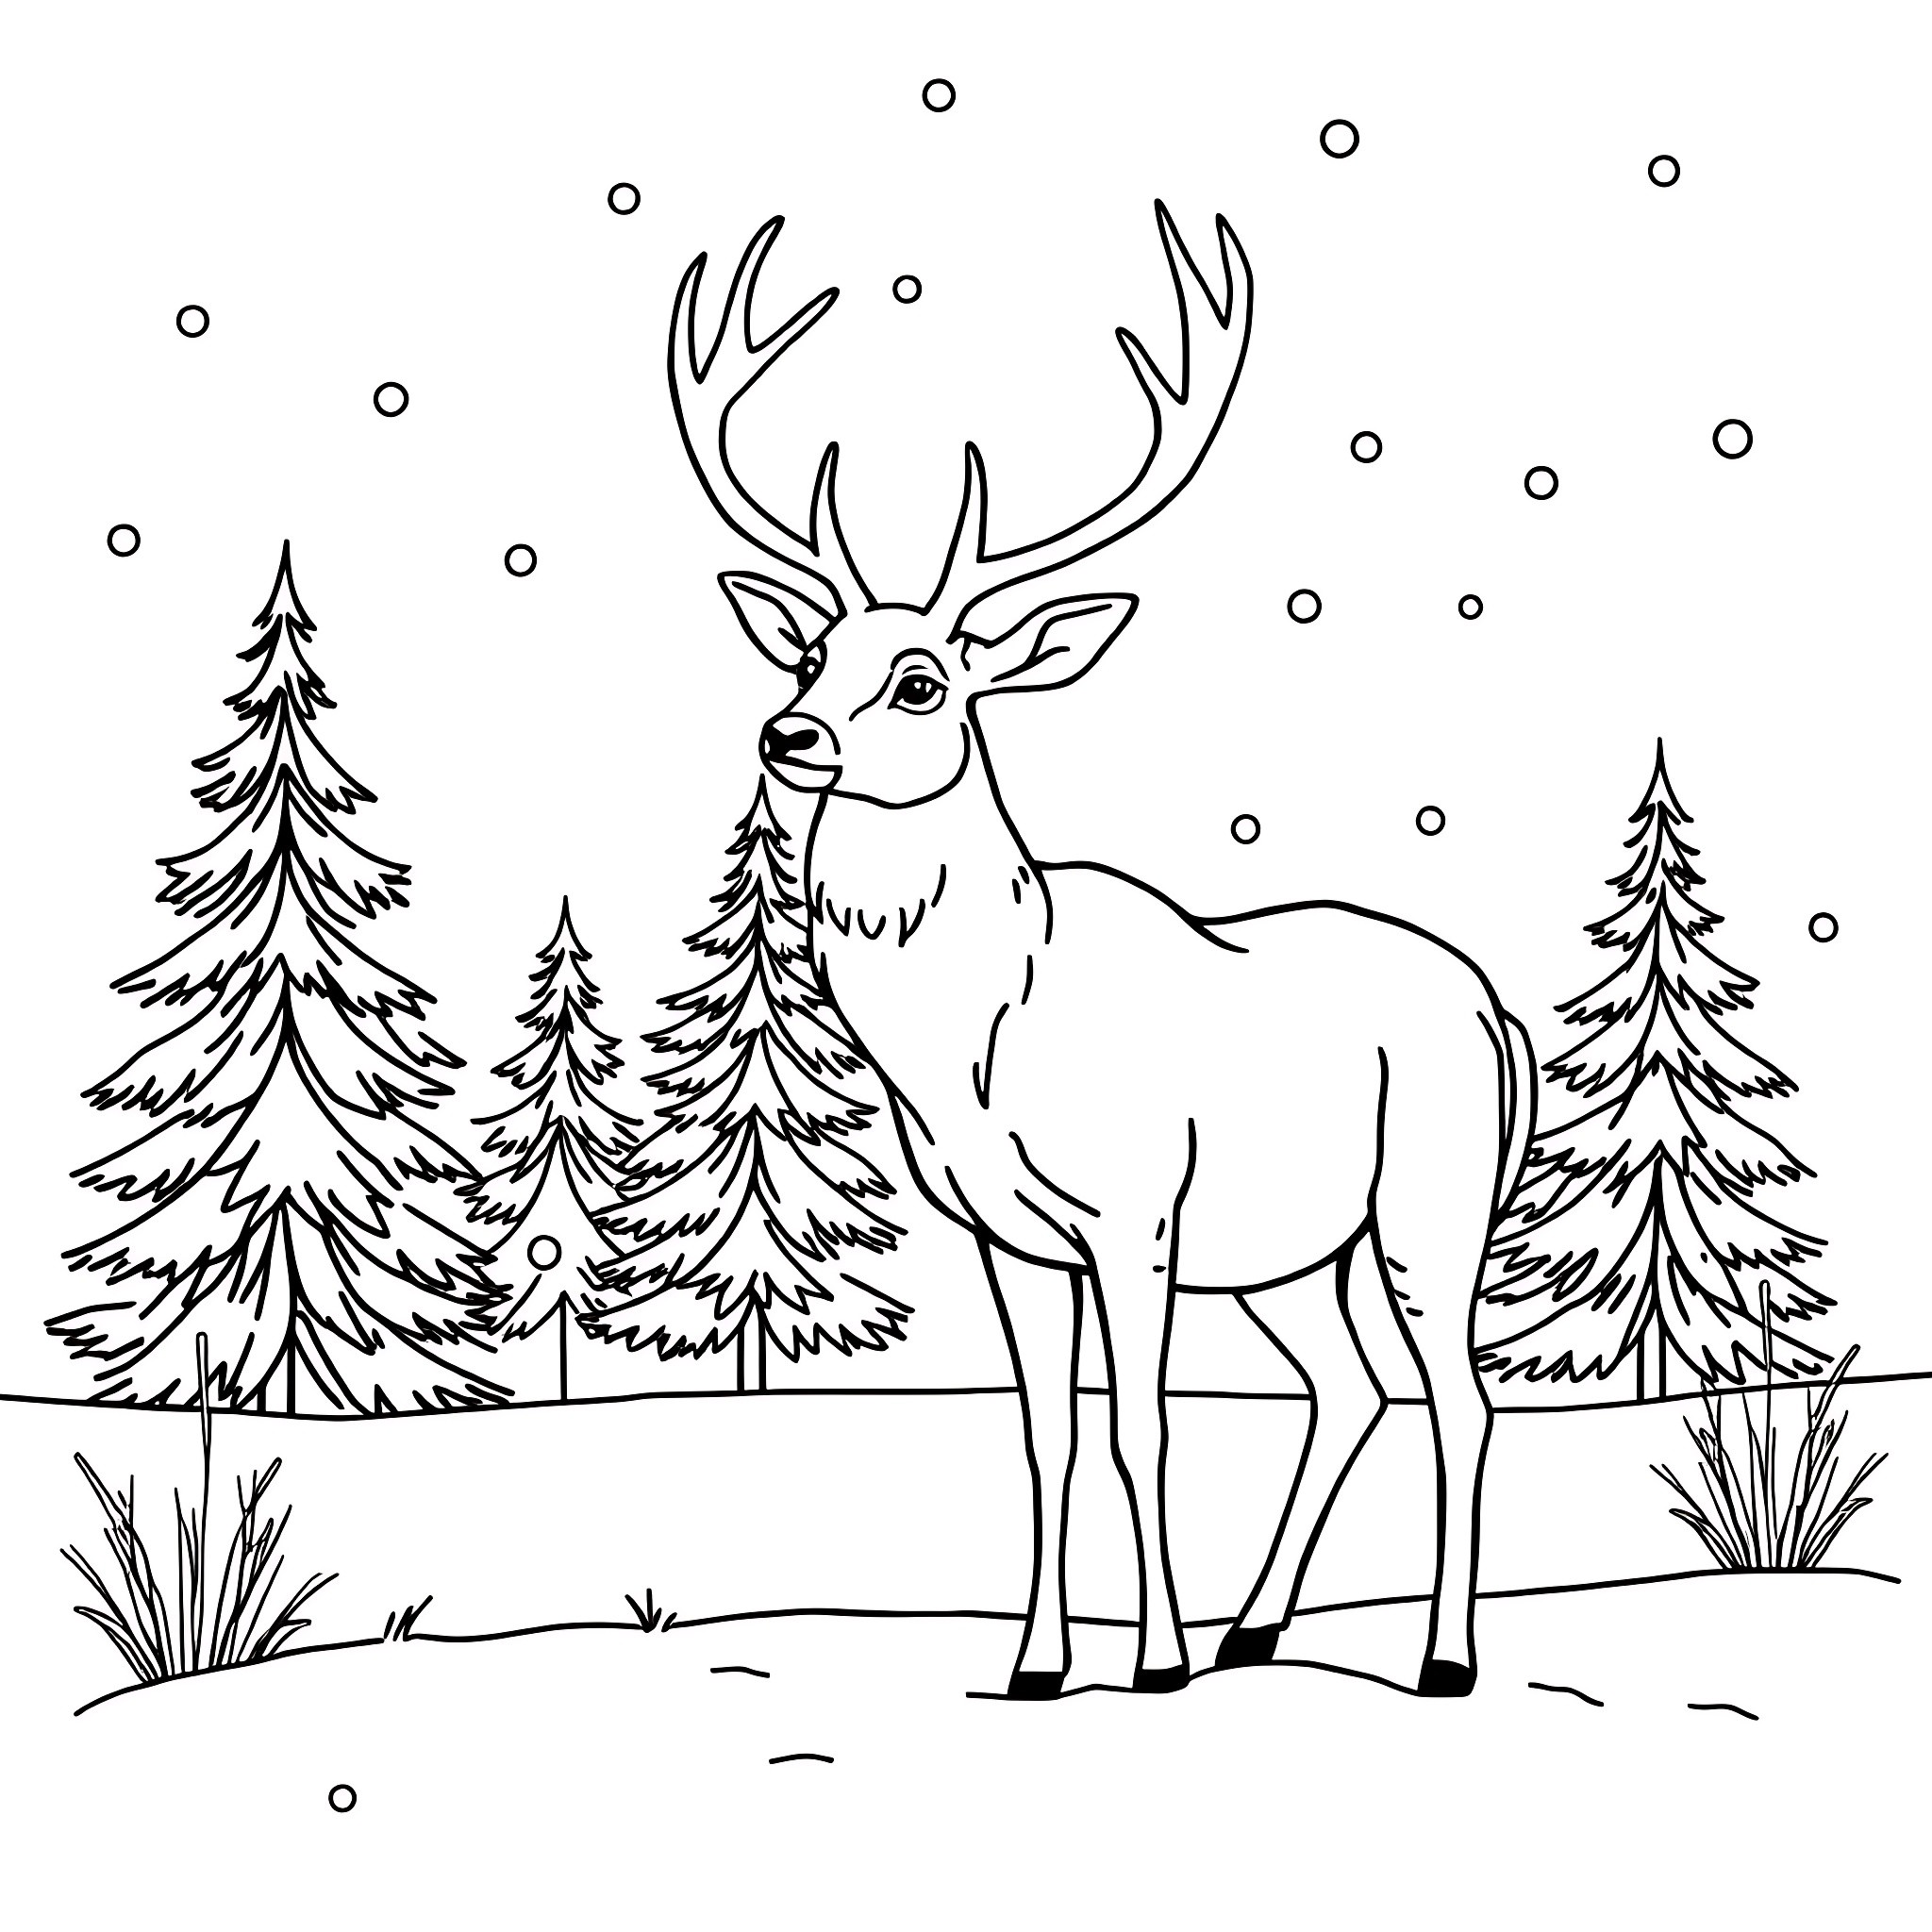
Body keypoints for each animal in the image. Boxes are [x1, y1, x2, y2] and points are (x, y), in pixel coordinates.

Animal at [666, 205, 1536, 1699]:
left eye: (921, 680)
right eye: (811, 655)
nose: (788, 738)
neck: (976, 1050)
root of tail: (1496, 1014)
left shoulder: (1135, 1213)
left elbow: (1144, 1427)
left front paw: (1154, 1661)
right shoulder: (1007, 1236)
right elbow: (1046, 1438)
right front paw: (1035, 1662)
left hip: (1434, 1195)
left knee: (1461, 1398)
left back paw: (1439, 1656)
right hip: (1292, 1252)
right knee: (1348, 1384)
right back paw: (1257, 1628)